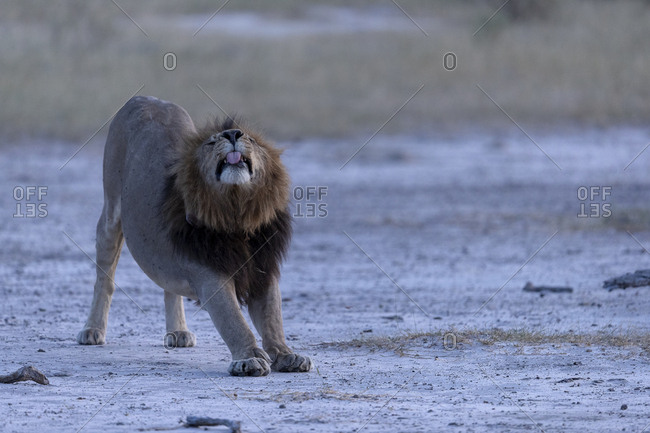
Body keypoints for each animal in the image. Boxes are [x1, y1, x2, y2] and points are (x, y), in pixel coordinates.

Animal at [77, 95, 311, 377]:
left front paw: (286, 354)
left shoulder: (262, 269)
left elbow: (273, 319)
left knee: (168, 285)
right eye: (211, 142)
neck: (237, 214)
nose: (233, 133)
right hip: (111, 213)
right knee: (104, 278)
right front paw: (249, 359)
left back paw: (178, 331)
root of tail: (144, 98)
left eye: (251, 140)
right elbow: (234, 322)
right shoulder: (211, 276)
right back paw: (92, 330)